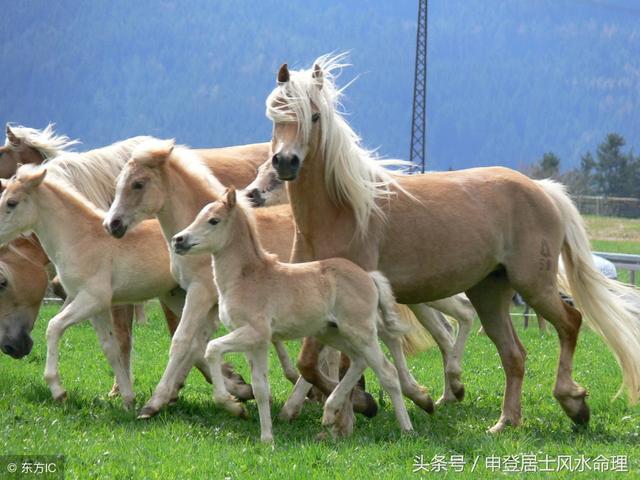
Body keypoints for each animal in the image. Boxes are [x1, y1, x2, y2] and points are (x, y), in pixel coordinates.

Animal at [172, 188, 410, 442]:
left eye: (214, 220)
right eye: (198, 215)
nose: (178, 240)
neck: (246, 277)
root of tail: (368, 276)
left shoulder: (255, 333)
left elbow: (212, 348)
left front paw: (231, 404)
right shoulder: (255, 343)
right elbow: (260, 388)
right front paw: (267, 438)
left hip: (360, 332)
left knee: (387, 372)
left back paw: (406, 429)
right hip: (332, 334)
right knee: (359, 362)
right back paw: (329, 412)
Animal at [264, 54, 640, 434]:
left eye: (314, 116)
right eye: (276, 113)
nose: (285, 162)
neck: (341, 210)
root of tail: (541, 189)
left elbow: (339, 364)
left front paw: (368, 405)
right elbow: (311, 363)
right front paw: (355, 411)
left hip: (534, 285)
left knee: (570, 322)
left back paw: (572, 401)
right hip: (490, 292)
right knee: (514, 354)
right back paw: (504, 422)